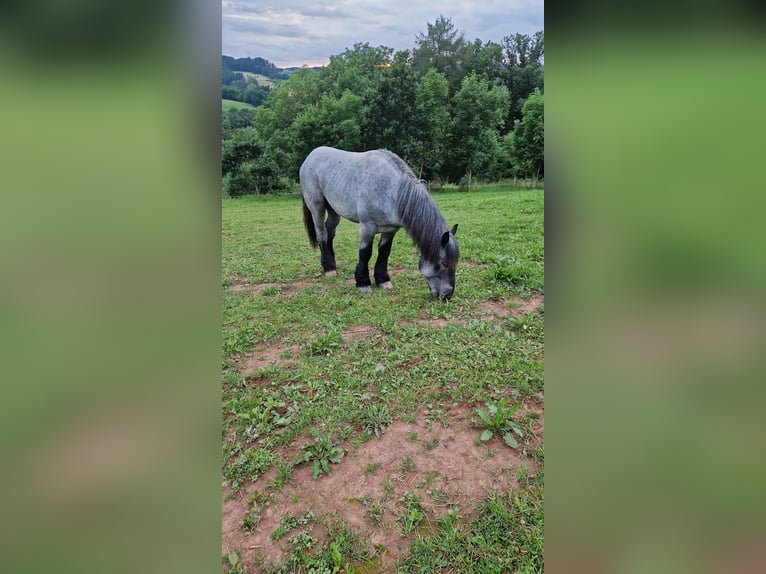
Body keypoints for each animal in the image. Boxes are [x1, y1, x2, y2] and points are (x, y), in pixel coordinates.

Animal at [300, 146, 460, 302]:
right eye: (444, 263)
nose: (447, 296)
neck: (391, 190)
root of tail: (310, 156)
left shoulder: (390, 230)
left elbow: (384, 252)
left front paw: (383, 280)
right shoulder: (367, 227)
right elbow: (365, 253)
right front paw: (363, 283)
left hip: (334, 211)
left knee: (330, 232)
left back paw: (332, 264)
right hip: (317, 206)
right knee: (321, 233)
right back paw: (328, 269)